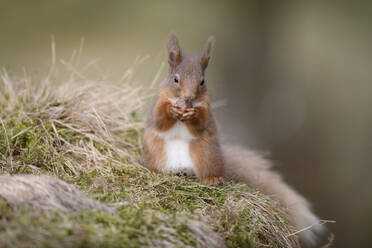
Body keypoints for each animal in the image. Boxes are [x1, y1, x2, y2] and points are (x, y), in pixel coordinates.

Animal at [144, 33, 324, 246]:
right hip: (154, 149)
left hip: (206, 153)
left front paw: (193, 114)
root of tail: (181, 168)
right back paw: (155, 172)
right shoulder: (157, 104)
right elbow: (160, 118)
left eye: (202, 82)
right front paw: (172, 110)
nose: (188, 97)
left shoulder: (207, 111)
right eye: (175, 79)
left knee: (207, 172)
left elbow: (200, 123)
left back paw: (212, 179)